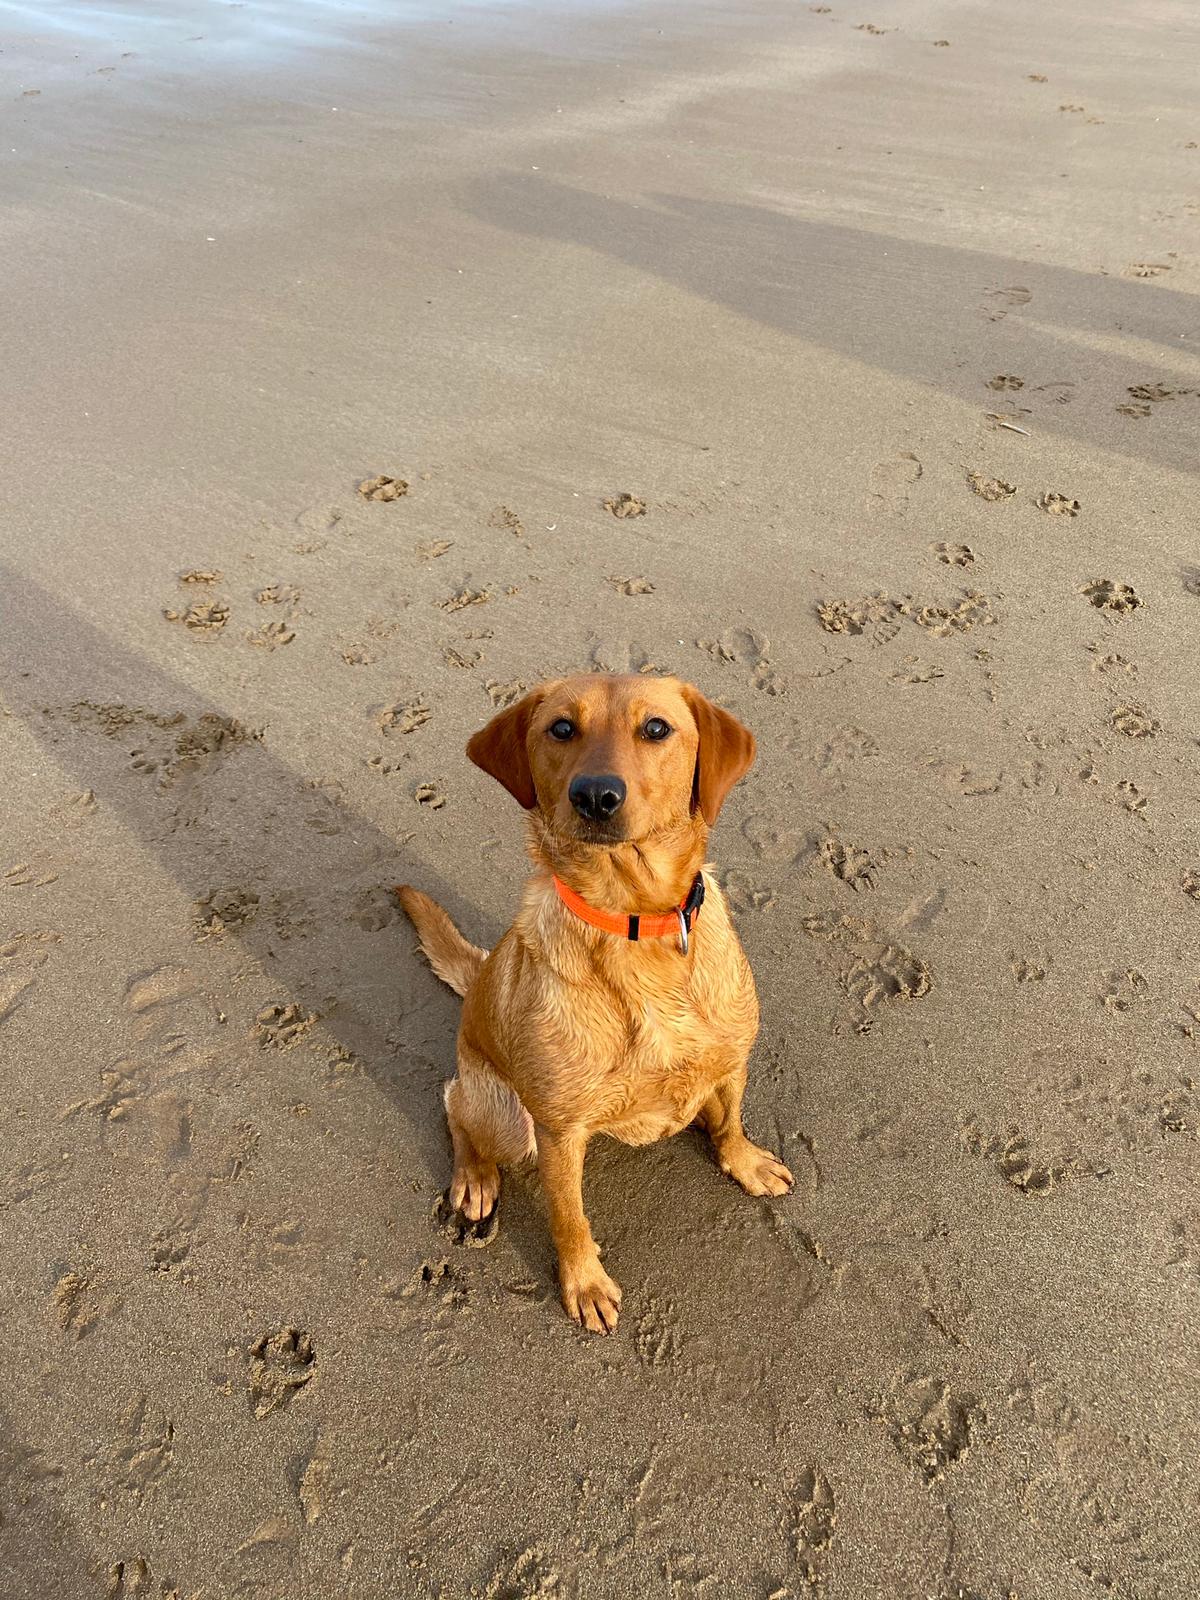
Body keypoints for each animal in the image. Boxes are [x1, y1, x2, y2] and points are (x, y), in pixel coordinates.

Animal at [400, 668, 793, 1331]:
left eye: (656, 728)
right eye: (562, 728)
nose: (596, 796)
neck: (633, 924)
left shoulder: (732, 1060)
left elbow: (732, 1119)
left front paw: (743, 1159)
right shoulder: (559, 1132)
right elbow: (569, 1217)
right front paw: (583, 1282)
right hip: (508, 1119)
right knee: (455, 1103)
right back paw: (475, 1175)